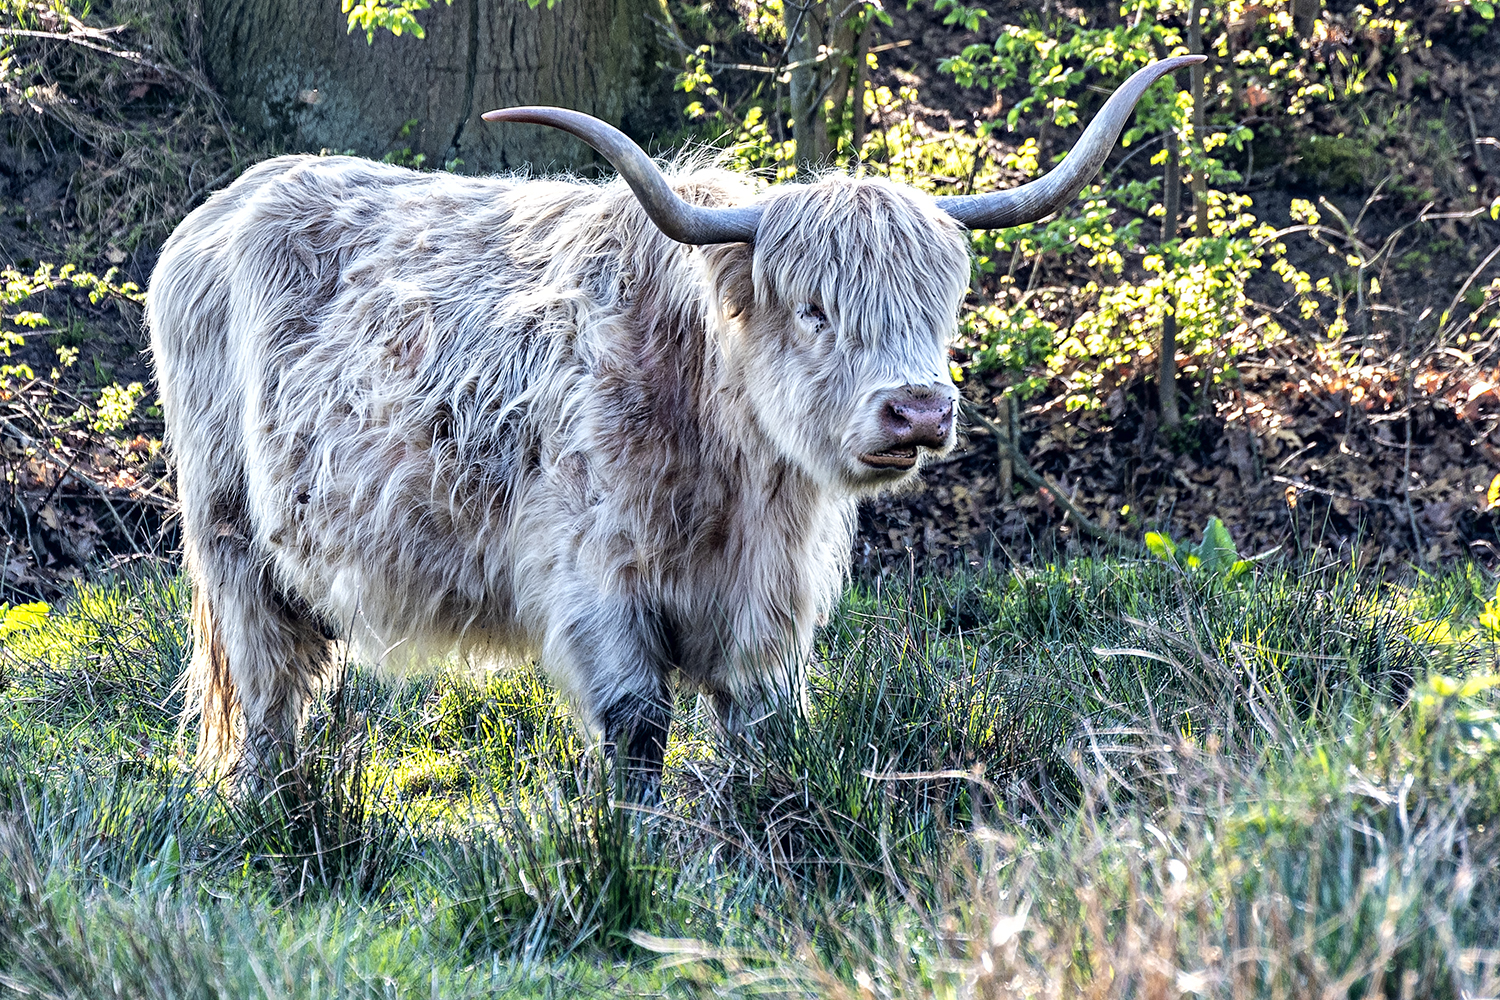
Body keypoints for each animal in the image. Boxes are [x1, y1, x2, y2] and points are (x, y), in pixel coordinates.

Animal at [147, 57, 1199, 799]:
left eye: (937, 307)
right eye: (814, 308)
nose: (919, 409)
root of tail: (221, 210)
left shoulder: (766, 609)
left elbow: (763, 728)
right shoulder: (596, 588)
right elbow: (639, 730)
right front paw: (642, 848)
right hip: (233, 541)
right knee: (267, 693)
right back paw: (271, 812)